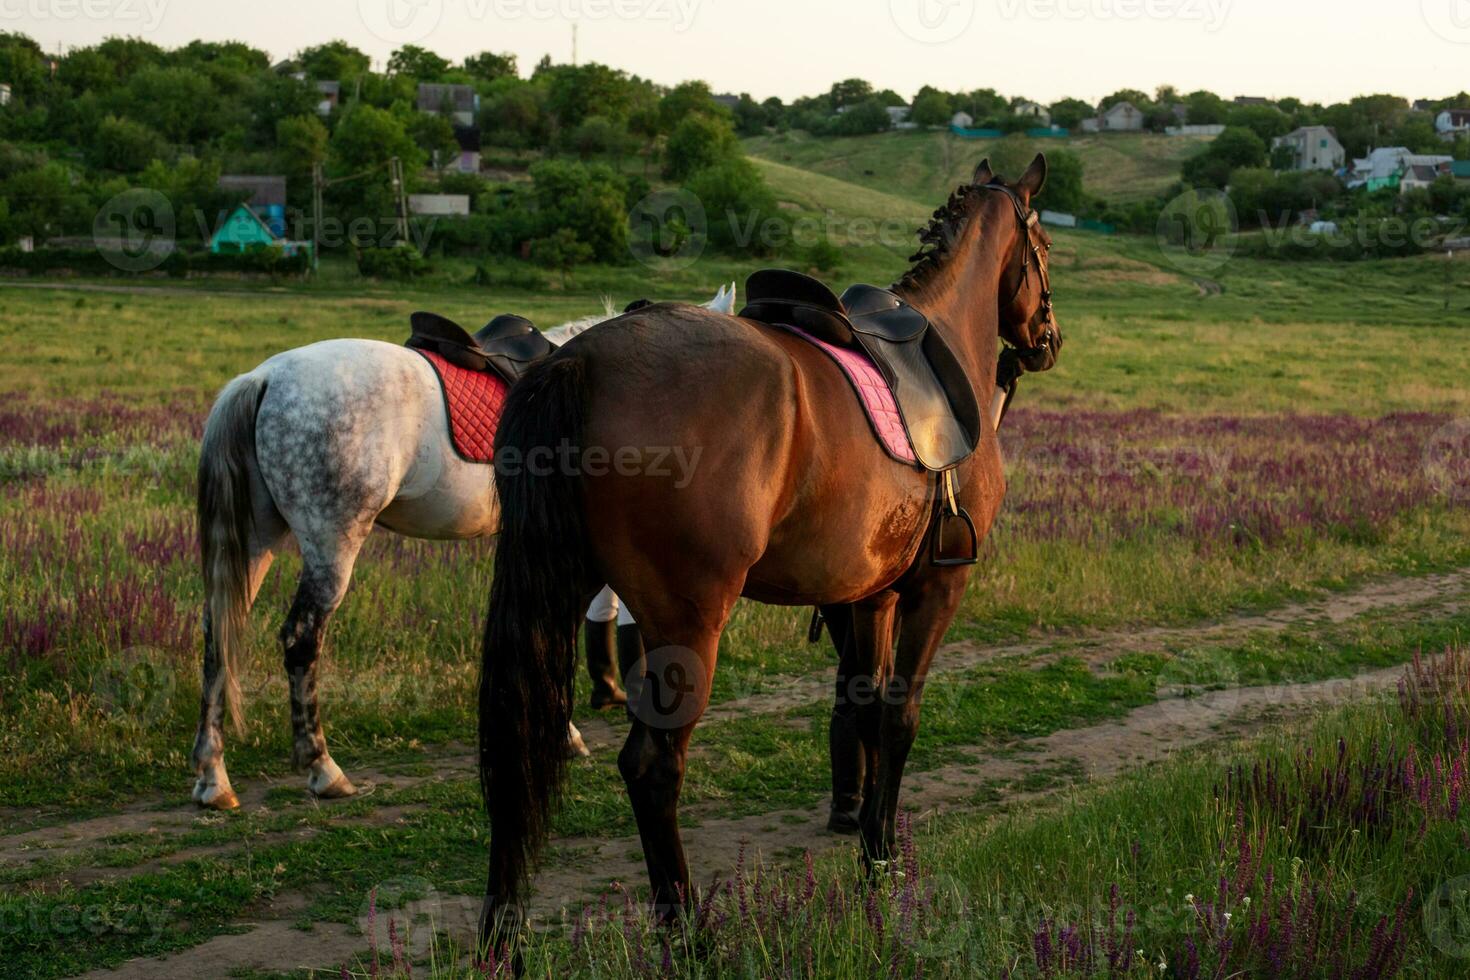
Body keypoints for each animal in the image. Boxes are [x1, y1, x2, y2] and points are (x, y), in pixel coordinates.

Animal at [192, 287, 735, 811]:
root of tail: (263, 377)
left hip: (256, 544)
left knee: (218, 633)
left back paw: (213, 778)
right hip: (332, 545)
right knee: (301, 641)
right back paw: (323, 769)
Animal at [476, 157, 1064, 946]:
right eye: (1045, 249)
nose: (1048, 338)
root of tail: (580, 360)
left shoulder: (870, 594)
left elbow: (865, 709)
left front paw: (872, 855)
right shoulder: (938, 587)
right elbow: (900, 716)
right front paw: (882, 859)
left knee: (517, 754)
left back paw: (502, 933)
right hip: (688, 620)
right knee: (652, 767)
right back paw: (688, 935)